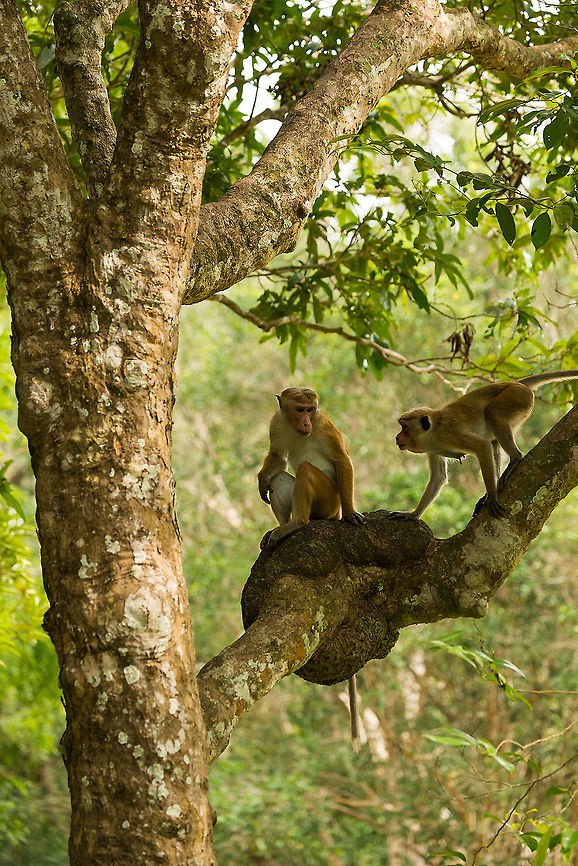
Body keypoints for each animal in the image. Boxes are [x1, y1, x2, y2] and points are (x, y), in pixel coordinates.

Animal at [258, 387, 365, 549]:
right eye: (299, 410)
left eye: (309, 410)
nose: (307, 423)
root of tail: (335, 513)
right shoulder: (276, 422)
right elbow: (277, 457)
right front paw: (262, 479)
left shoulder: (323, 424)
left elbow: (341, 459)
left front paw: (350, 512)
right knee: (277, 478)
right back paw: (283, 526)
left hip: (329, 503)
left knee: (305, 469)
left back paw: (298, 523)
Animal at [390, 370, 578, 520]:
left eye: (404, 427)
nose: (397, 437)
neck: (435, 432)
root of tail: (516, 383)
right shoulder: (432, 450)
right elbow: (438, 477)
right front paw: (412, 515)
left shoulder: (451, 433)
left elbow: (482, 446)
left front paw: (493, 497)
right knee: (494, 440)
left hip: (516, 396)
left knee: (493, 413)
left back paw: (513, 460)